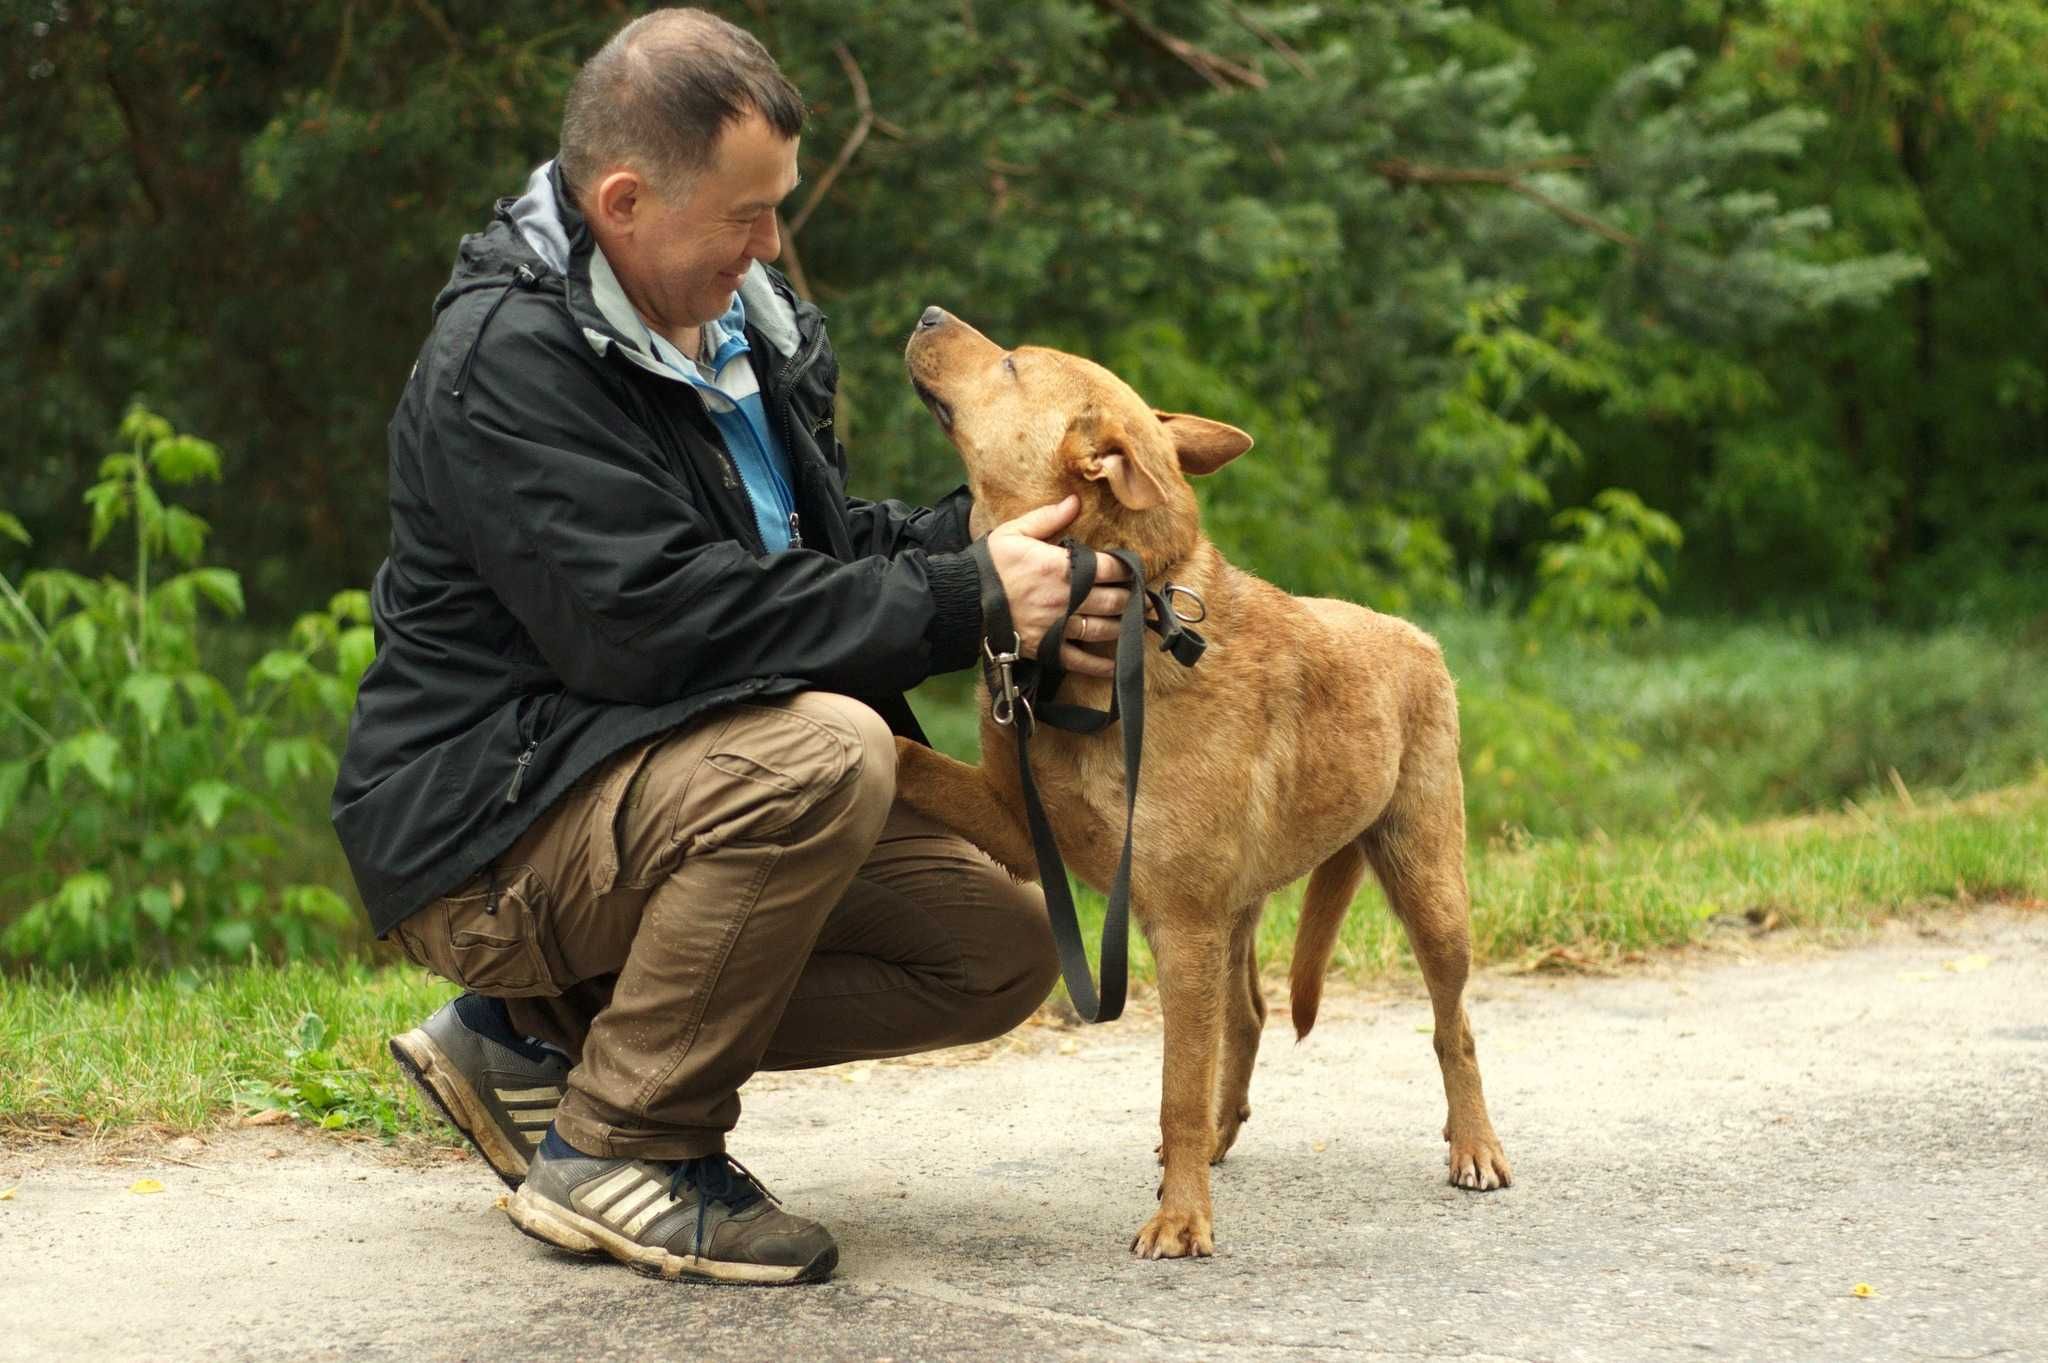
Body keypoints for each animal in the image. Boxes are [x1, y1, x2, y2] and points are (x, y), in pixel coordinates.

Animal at [905, 304, 1515, 1252]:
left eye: (1010, 363)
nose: (930, 311)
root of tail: (1413, 636)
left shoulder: (1179, 929)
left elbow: (1178, 1087)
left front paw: (1182, 1218)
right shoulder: (1017, 820)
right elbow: (909, 761)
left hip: (1429, 894)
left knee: (1455, 1028)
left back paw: (1474, 1143)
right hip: (1240, 916)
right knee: (1253, 1020)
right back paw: (1230, 1137)